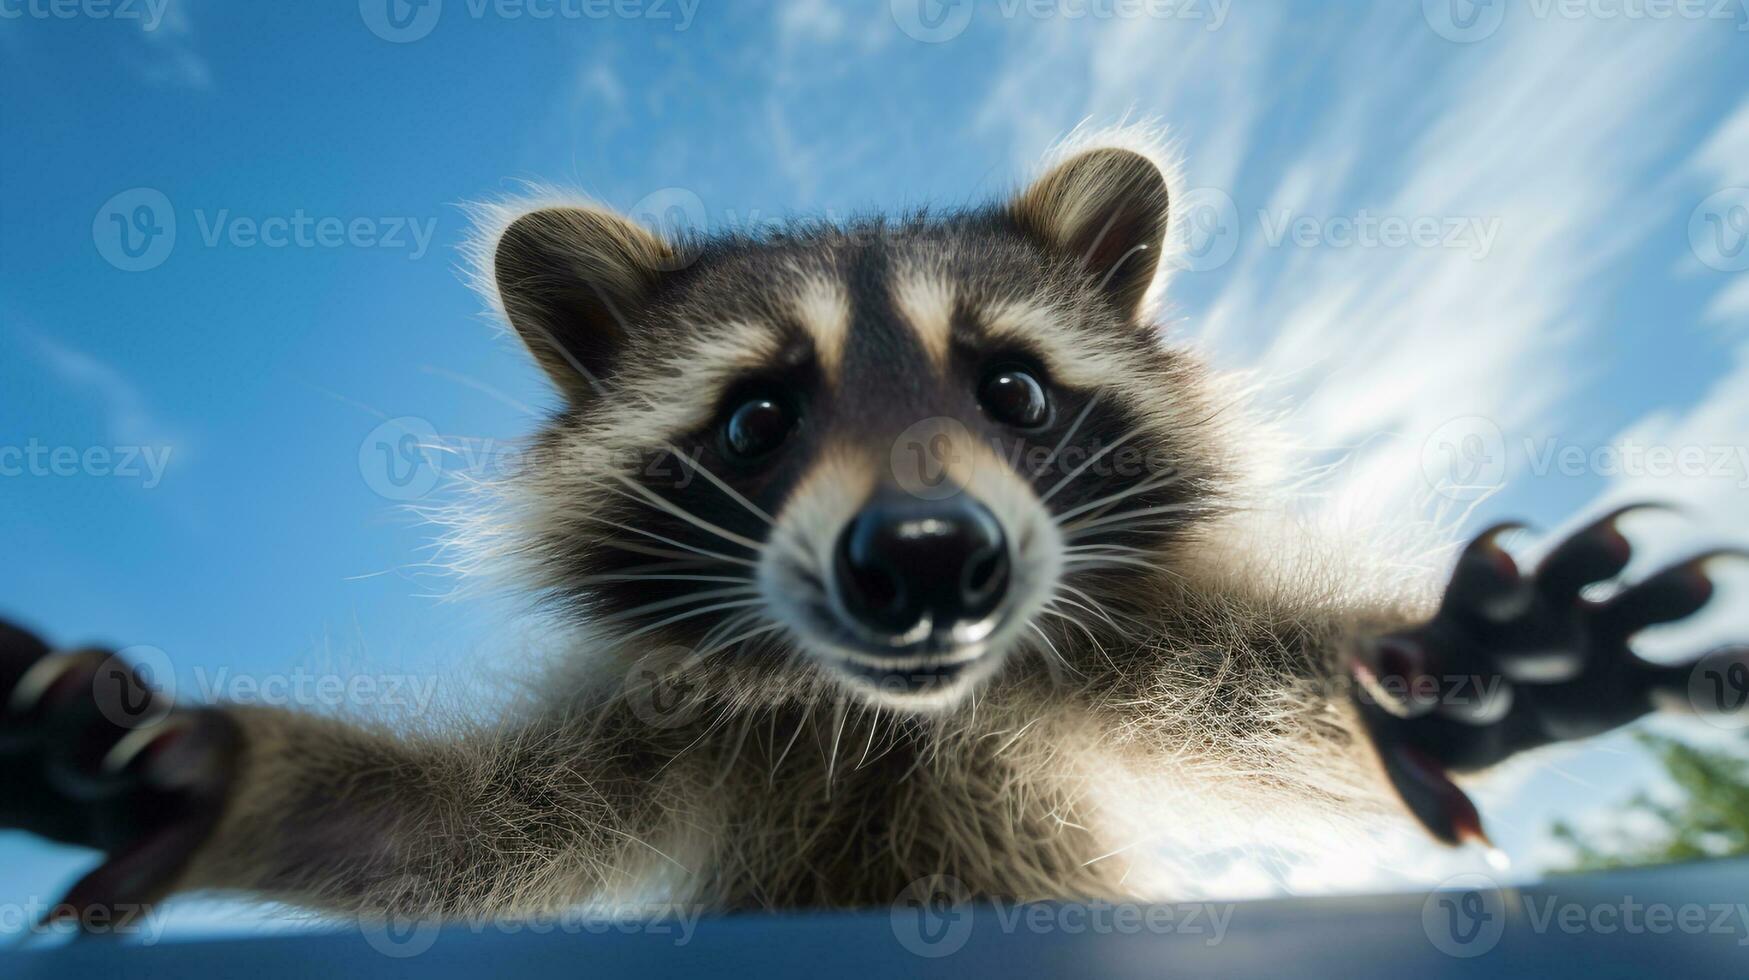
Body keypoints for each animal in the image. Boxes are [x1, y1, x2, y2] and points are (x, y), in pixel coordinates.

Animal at [0, 132, 1735, 924]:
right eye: (756, 420)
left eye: (1013, 388)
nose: (924, 560)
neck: (892, 722)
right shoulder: (681, 723)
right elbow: (460, 838)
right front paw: (199, 773)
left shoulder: (1084, 660)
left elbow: (1263, 688)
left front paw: (1459, 669)